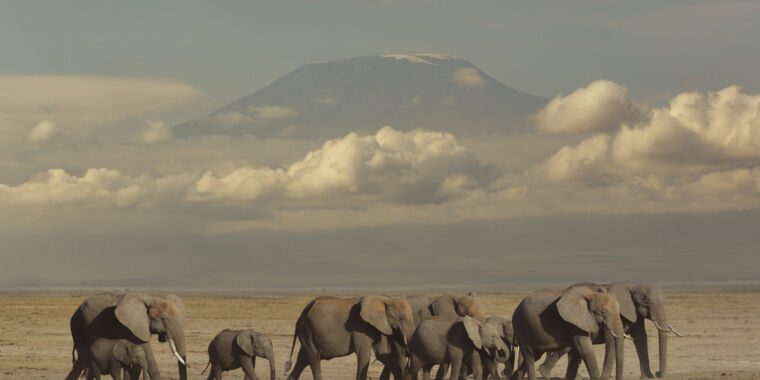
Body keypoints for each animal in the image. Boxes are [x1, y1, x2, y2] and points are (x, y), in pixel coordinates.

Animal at [284, 296, 416, 380]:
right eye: (401, 318)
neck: (384, 299)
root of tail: (303, 312)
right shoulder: (360, 327)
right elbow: (364, 354)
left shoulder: (380, 327)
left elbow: (382, 354)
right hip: (307, 331)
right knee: (314, 358)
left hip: (306, 332)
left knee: (303, 359)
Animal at [536, 280, 680, 378]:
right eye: (647, 301)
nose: (658, 373)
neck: (632, 285)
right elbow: (611, 340)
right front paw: (605, 377)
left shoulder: (634, 313)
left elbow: (640, 338)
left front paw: (648, 377)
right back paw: (545, 373)